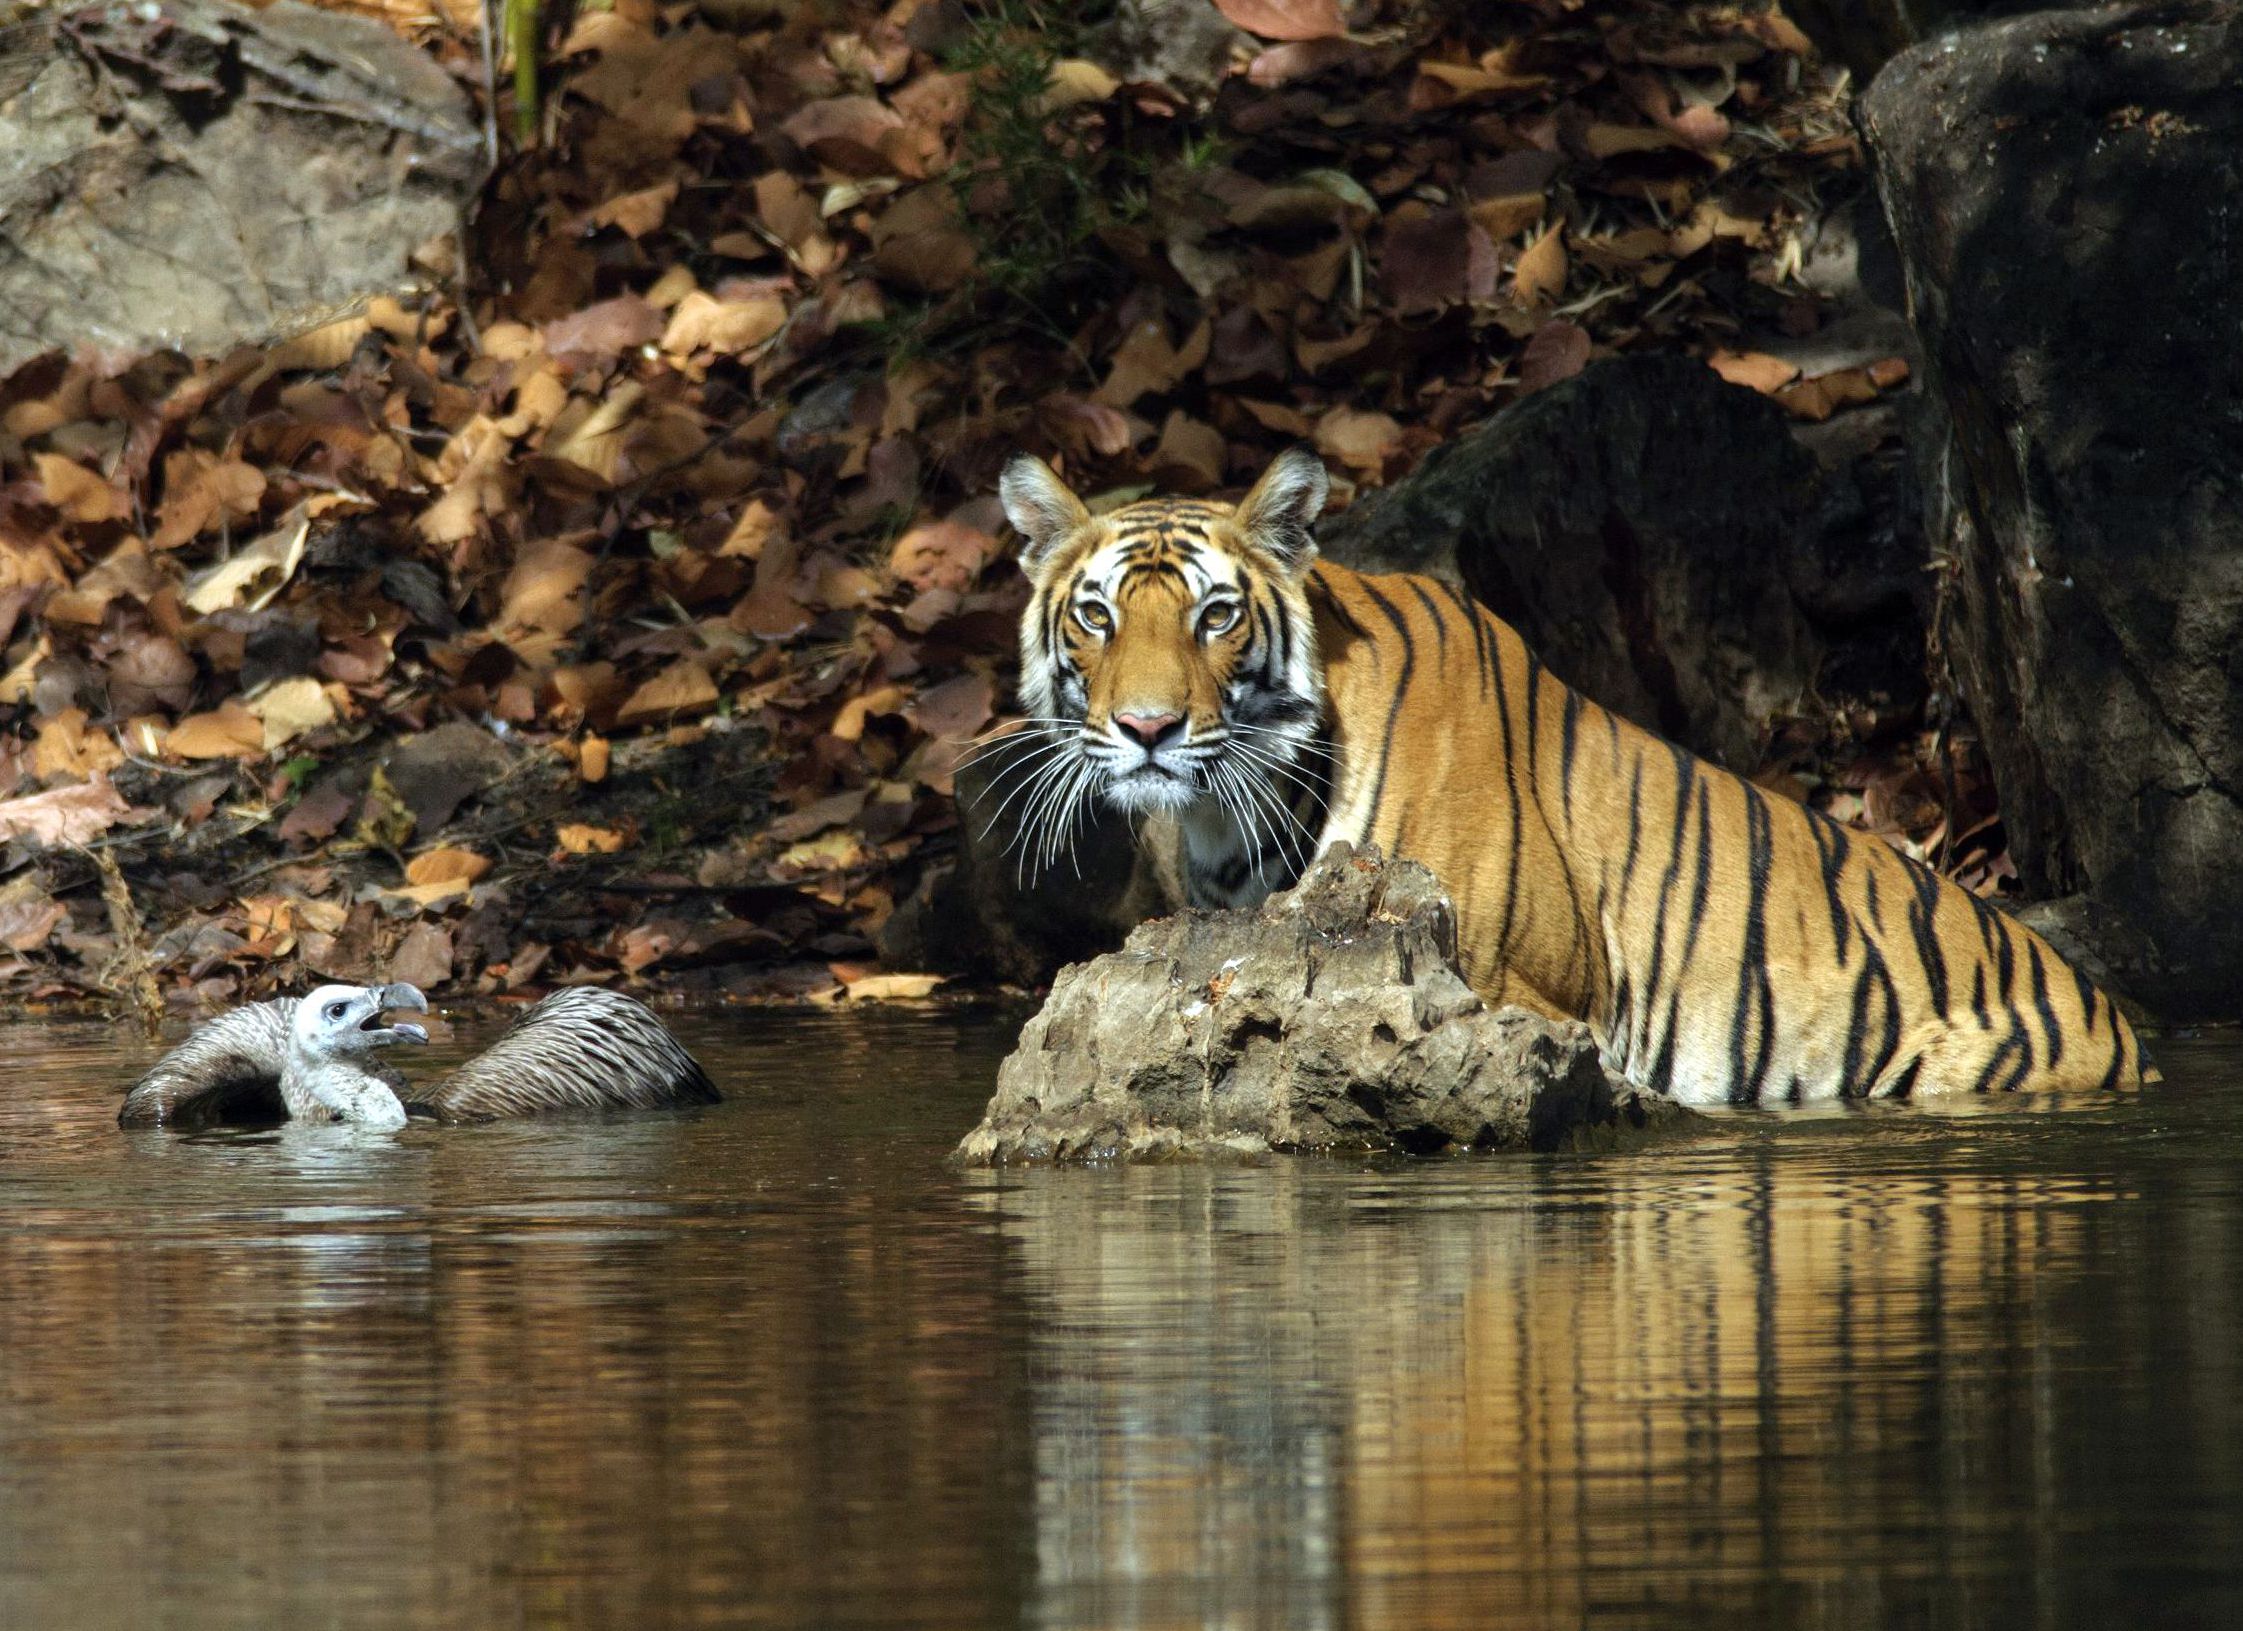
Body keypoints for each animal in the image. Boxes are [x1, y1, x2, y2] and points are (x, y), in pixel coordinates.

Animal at [992, 445, 2154, 1104]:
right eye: (1096, 616)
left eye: (1215, 615)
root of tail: (2117, 1024)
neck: (1236, 822)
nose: (1147, 727)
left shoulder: (1523, 986)